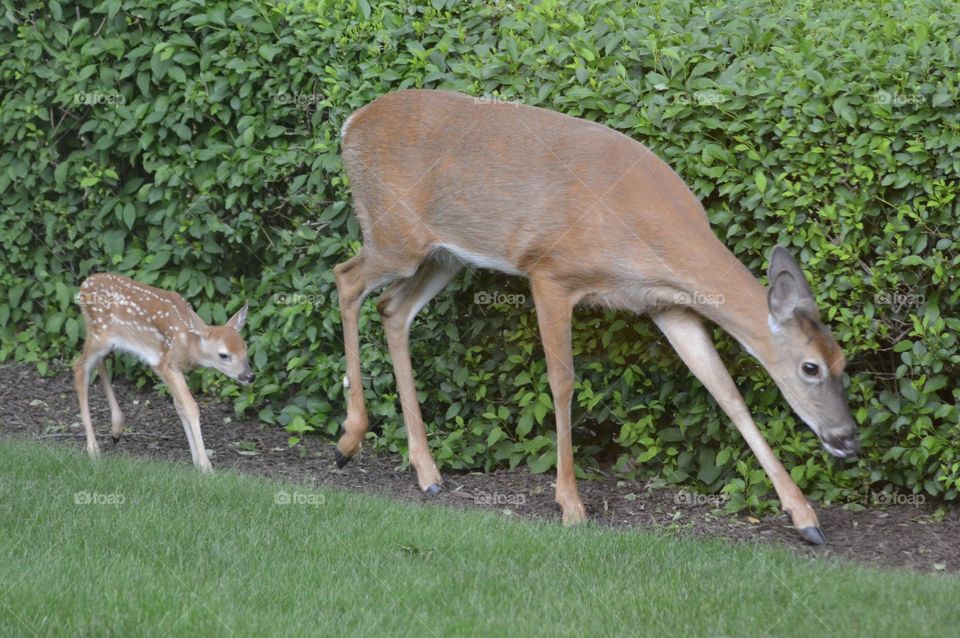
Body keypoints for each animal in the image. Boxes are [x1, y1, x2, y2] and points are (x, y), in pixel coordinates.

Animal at [74, 272, 255, 472]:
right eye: (223, 355)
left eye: (245, 348)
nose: (249, 376)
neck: (188, 344)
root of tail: (84, 284)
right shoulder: (166, 363)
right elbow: (191, 406)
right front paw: (206, 467)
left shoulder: (172, 368)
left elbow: (180, 406)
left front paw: (197, 462)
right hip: (100, 335)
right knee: (80, 368)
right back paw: (93, 450)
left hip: (100, 336)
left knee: (99, 363)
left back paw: (116, 429)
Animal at [334, 90, 860, 548]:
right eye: (810, 367)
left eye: (843, 361)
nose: (848, 439)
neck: (641, 228)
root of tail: (350, 123)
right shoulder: (550, 273)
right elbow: (562, 382)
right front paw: (570, 504)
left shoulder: (667, 304)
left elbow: (727, 392)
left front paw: (805, 518)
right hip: (394, 236)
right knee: (346, 279)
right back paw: (349, 439)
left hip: (444, 256)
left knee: (392, 308)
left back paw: (427, 473)